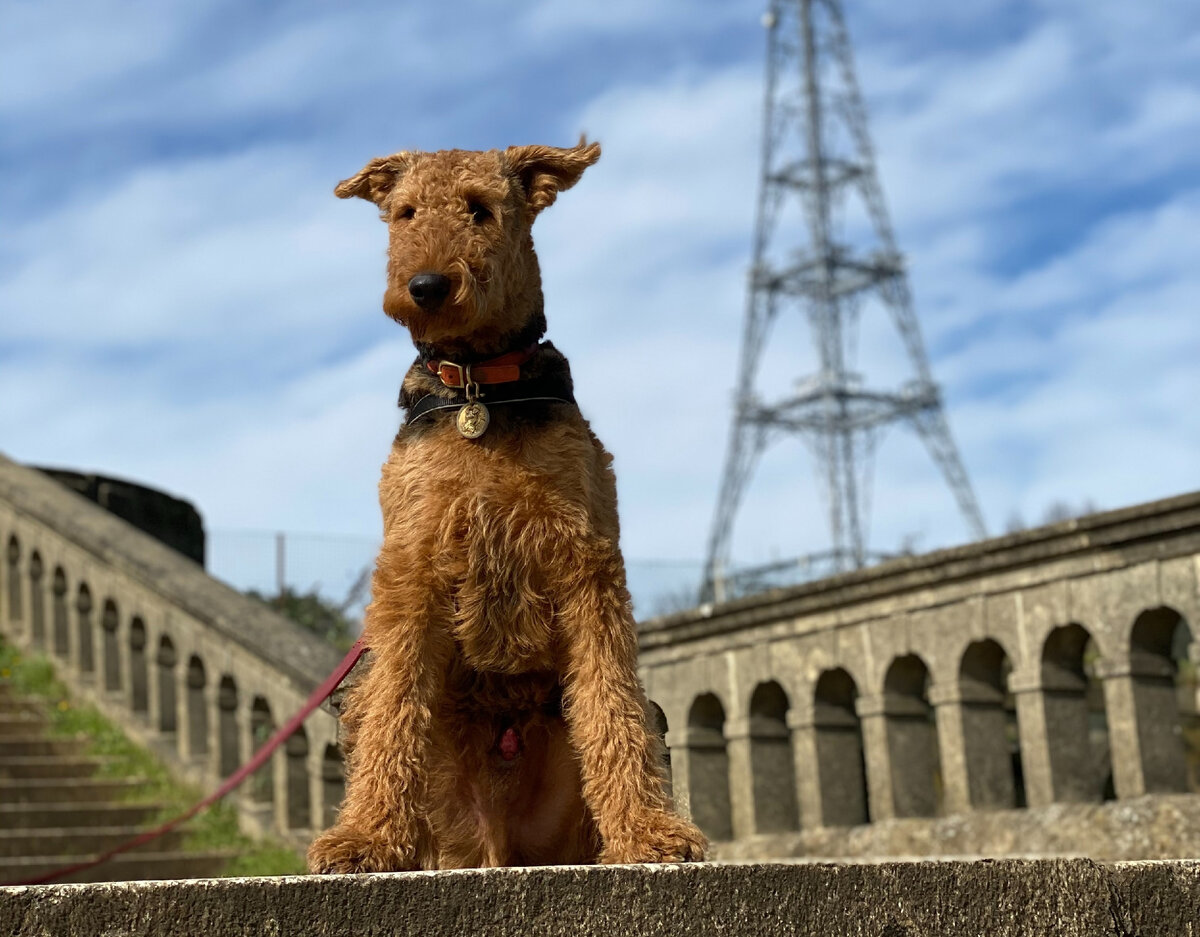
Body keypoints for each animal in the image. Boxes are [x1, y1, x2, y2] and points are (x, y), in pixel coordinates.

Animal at [304, 139, 705, 868]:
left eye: (480, 209)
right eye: (405, 212)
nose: (427, 287)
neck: (478, 389)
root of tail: (502, 843)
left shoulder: (585, 560)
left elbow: (609, 704)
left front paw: (647, 832)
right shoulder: (412, 565)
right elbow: (396, 708)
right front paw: (365, 837)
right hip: (391, 733)